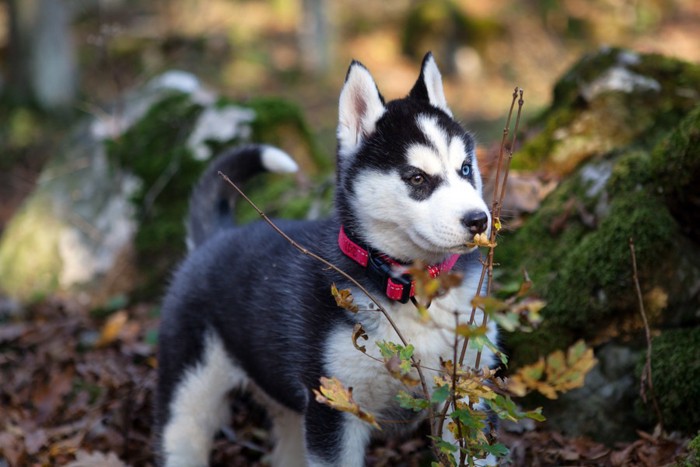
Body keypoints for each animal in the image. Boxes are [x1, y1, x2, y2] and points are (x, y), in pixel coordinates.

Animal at [157, 53, 498, 466]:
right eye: (417, 178)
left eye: (465, 168)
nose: (479, 221)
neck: (407, 288)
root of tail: (215, 237)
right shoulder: (335, 410)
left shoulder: (468, 388)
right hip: (189, 395)